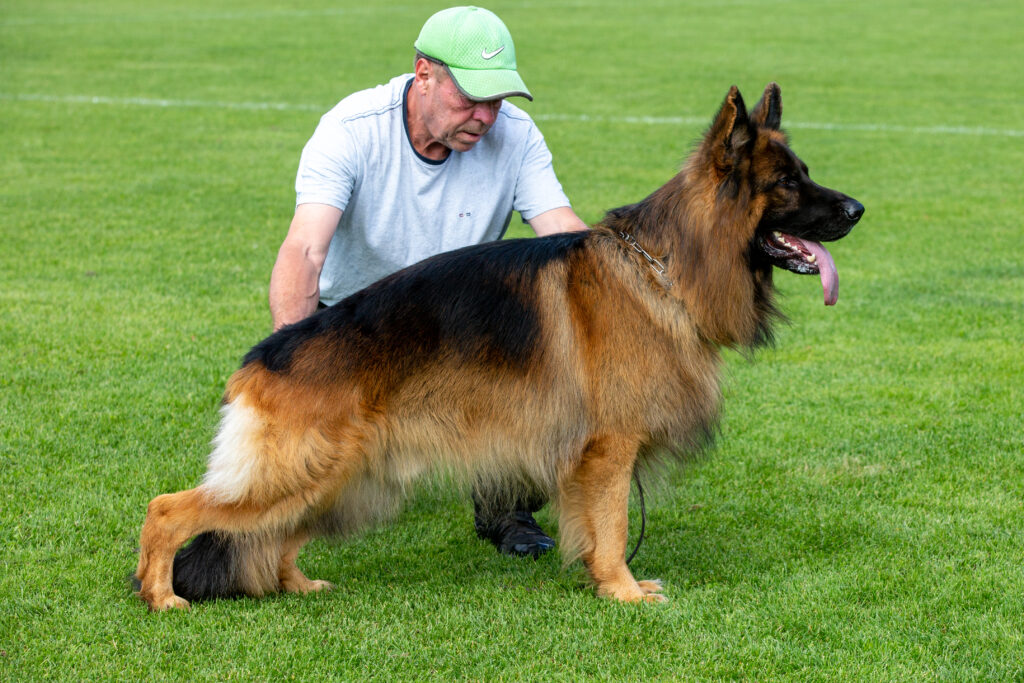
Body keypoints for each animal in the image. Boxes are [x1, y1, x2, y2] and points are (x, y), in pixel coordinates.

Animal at [132, 82, 860, 610]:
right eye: (788, 183)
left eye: (805, 173)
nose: (858, 210)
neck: (663, 270)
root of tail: (263, 357)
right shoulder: (610, 449)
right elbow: (615, 526)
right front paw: (622, 589)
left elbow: (598, 527)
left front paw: (603, 581)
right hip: (299, 469)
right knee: (168, 509)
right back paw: (162, 595)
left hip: (335, 473)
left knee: (274, 535)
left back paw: (295, 584)